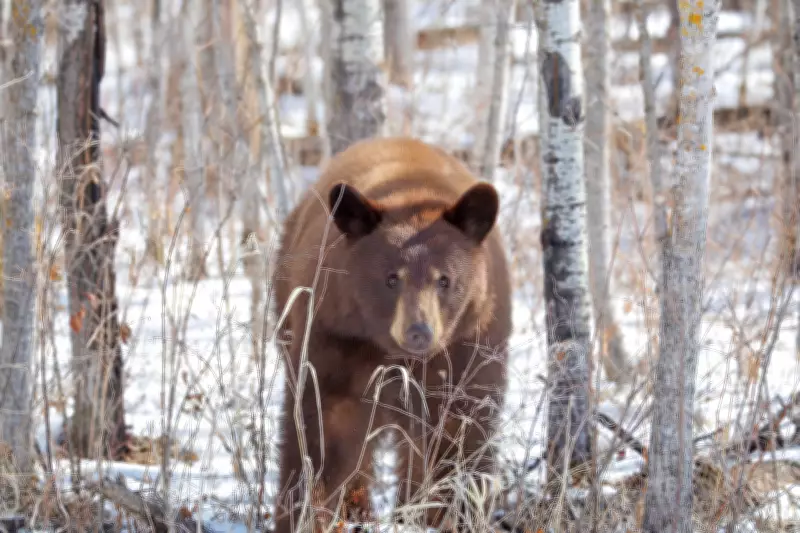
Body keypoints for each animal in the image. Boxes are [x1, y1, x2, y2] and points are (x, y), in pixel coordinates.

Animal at [270, 137, 512, 532]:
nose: (418, 332)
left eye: (444, 280)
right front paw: (305, 512)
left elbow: (463, 430)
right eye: (391, 278)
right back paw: (360, 509)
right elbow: (322, 428)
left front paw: (449, 513)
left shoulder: (470, 347)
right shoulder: (334, 336)